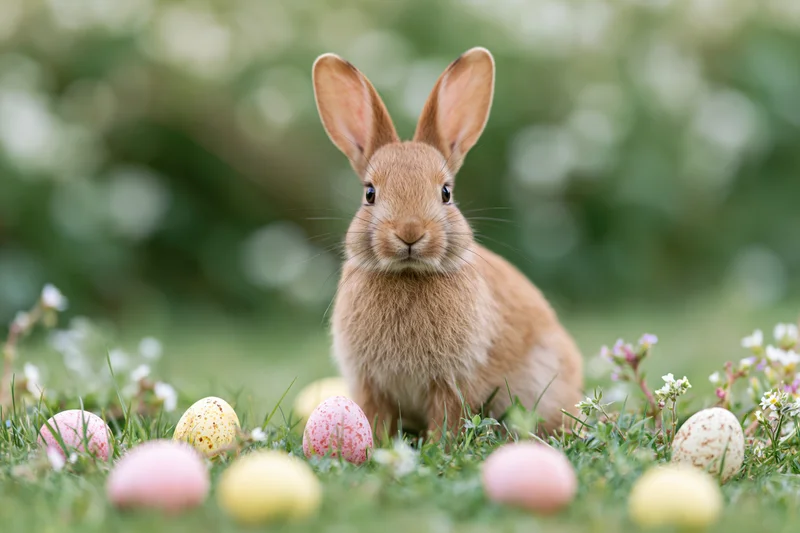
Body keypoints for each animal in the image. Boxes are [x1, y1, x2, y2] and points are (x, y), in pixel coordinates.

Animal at [311, 46, 583, 441]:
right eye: (369, 193)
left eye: (446, 193)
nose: (410, 232)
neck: (409, 273)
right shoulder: (369, 384)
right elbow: (375, 417)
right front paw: (378, 444)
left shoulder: (454, 380)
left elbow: (448, 418)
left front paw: (439, 445)